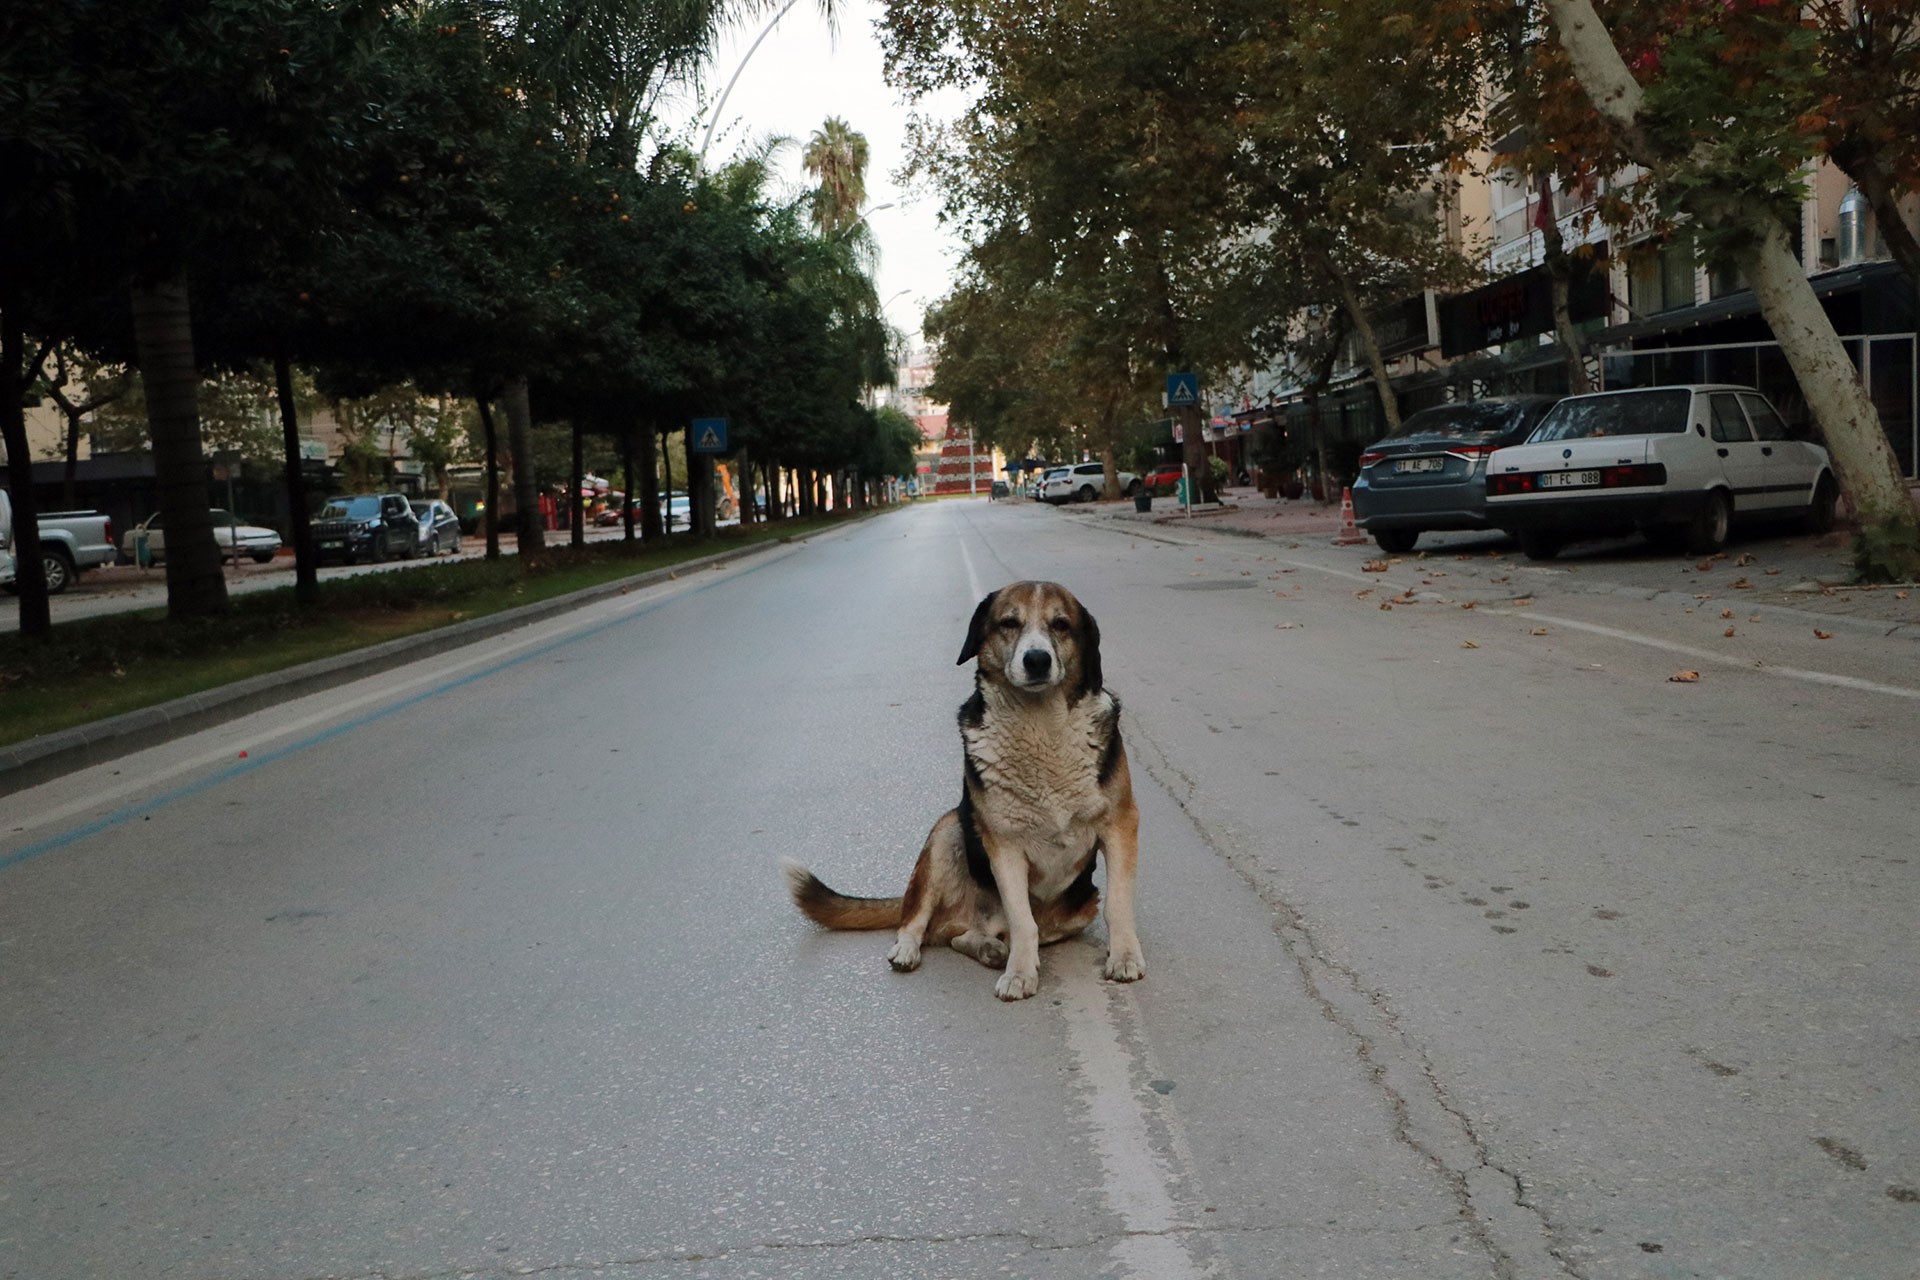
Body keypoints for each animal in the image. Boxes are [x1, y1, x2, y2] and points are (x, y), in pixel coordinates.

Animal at [779, 579, 1136, 997]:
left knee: (963, 934)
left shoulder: (1120, 825)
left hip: (1077, 909)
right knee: (920, 921)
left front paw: (1125, 957)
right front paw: (1020, 974)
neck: (1041, 728)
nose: (1037, 660)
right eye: (1009, 623)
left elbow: (1117, 904)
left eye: (1061, 625)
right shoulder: (1004, 845)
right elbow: (1022, 920)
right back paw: (912, 949)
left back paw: (988, 948)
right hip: (946, 831)